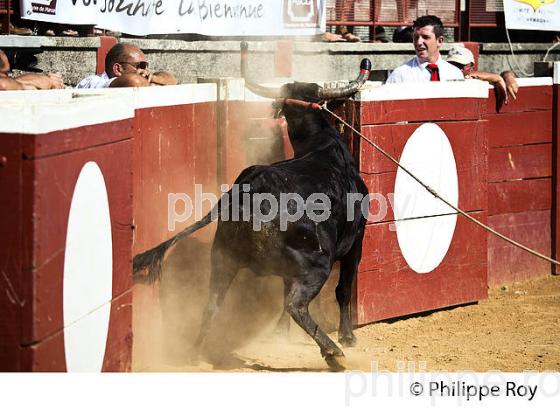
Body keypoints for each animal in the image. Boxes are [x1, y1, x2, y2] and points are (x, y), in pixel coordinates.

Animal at [133, 58, 372, 372]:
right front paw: (347, 337)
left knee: (213, 302)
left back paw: (195, 352)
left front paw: (280, 333)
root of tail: (248, 189)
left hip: (223, 258)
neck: (323, 144)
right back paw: (333, 352)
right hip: (317, 264)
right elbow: (344, 289)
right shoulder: (356, 241)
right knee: (296, 304)